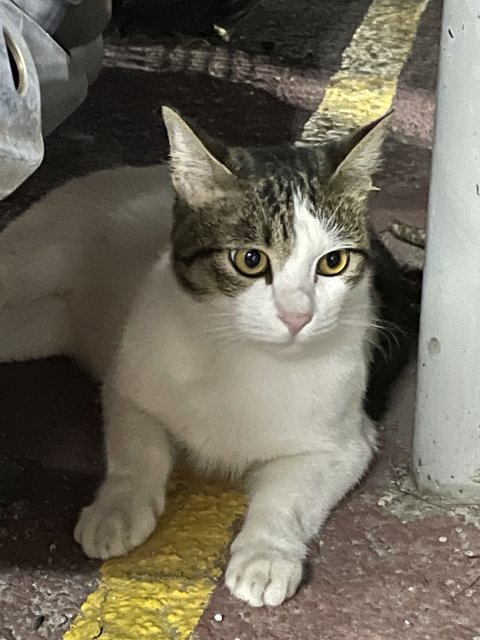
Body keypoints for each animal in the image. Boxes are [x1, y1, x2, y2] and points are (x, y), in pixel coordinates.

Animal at [0, 109, 412, 604]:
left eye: (333, 263)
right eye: (251, 260)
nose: (298, 316)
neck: (241, 358)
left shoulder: (344, 445)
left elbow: (287, 499)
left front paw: (266, 553)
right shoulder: (127, 387)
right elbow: (137, 452)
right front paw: (118, 507)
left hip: (39, 327)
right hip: (34, 261)